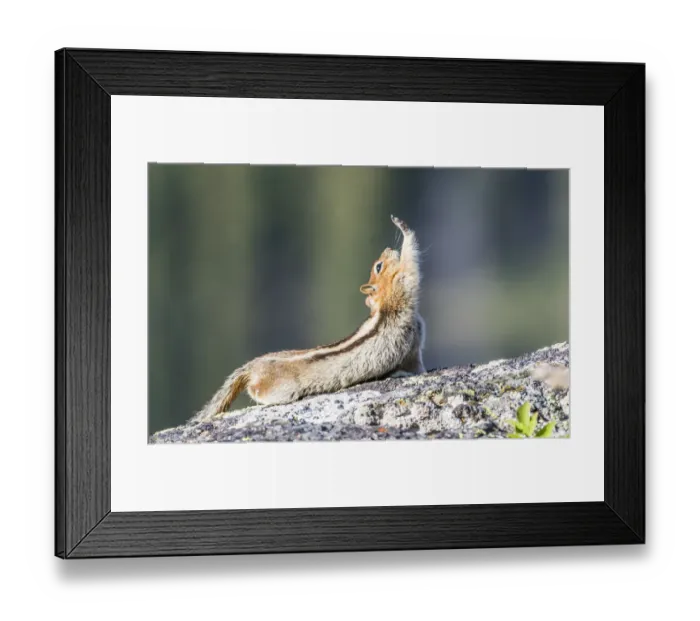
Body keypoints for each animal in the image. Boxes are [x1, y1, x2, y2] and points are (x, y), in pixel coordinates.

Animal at [196, 215, 426, 420]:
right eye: (379, 266)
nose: (387, 249)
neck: (384, 304)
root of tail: (253, 367)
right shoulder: (402, 286)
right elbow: (410, 266)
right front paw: (403, 227)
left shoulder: (413, 348)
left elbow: (416, 364)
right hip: (280, 389)